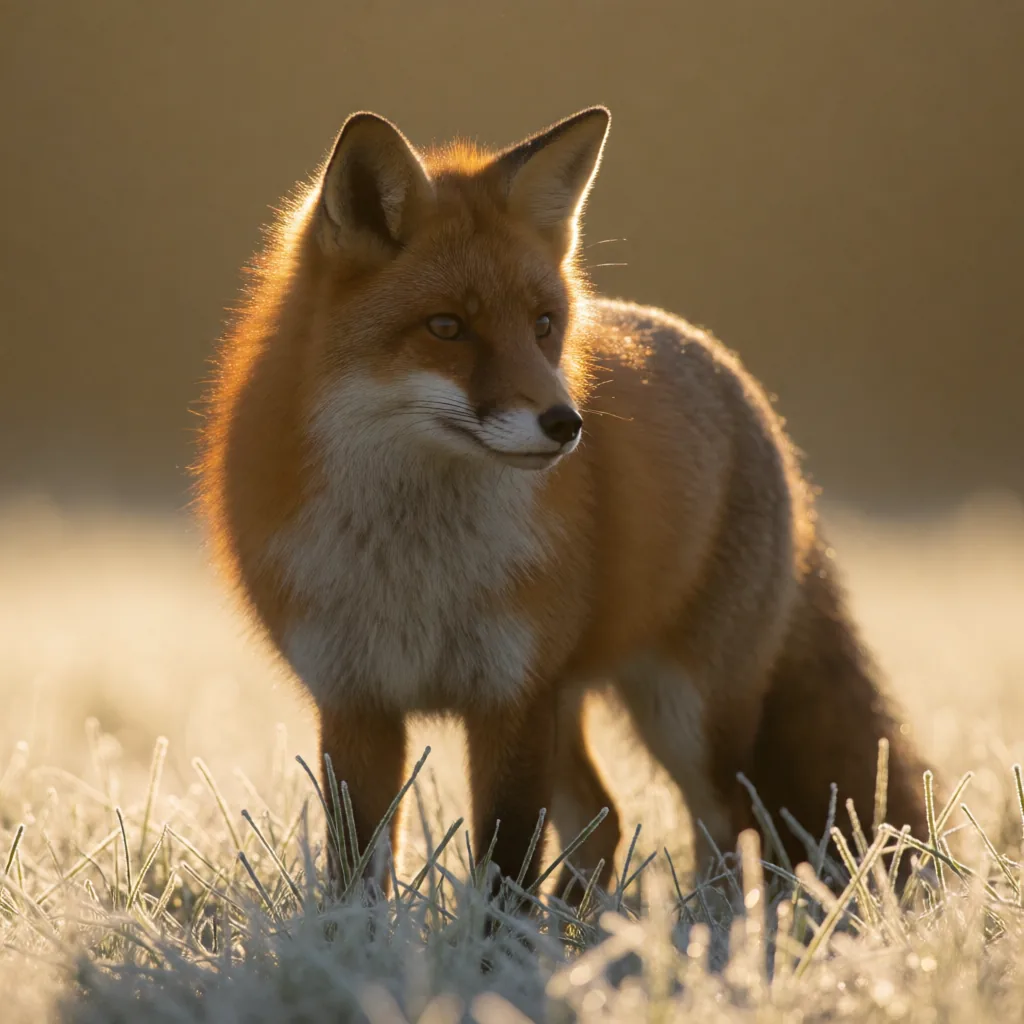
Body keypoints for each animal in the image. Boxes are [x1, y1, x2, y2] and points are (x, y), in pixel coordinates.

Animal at [197, 105, 929, 903]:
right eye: (447, 327)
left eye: (543, 323)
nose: (566, 423)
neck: (416, 562)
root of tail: (743, 385)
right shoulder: (358, 701)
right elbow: (358, 865)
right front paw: (360, 935)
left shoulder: (510, 700)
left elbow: (504, 862)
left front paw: (495, 940)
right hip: (575, 697)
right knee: (607, 820)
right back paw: (580, 922)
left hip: (686, 713)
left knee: (733, 831)